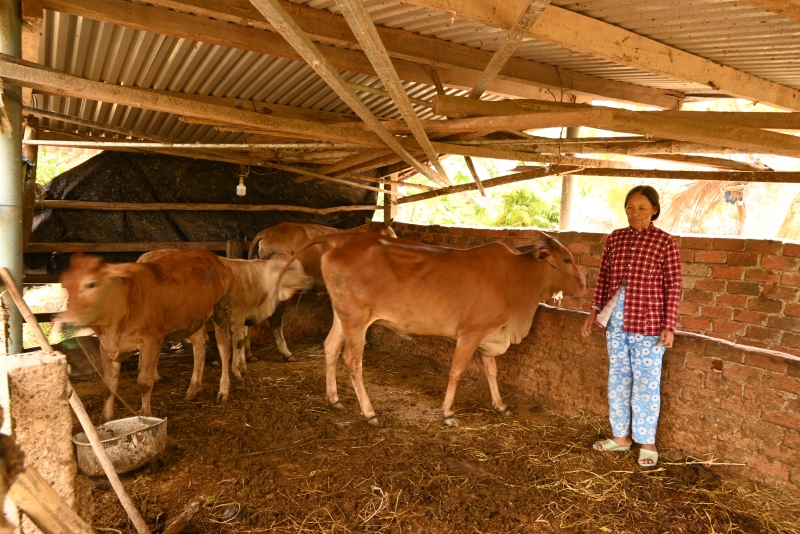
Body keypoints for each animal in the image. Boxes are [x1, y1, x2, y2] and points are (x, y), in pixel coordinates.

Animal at [57, 251, 233, 422]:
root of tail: (210, 255)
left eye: (91, 284)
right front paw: (104, 420)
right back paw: (192, 389)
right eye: (64, 285)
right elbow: (108, 385)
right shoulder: (105, 347)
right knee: (199, 344)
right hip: (192, 317)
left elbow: (144, 383)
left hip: (221, 306)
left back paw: (223, 390)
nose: (64, 323)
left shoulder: (151, 342)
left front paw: (146, 416)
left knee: (223, 346)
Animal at [278, 232, 584, 430]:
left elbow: (492, 372)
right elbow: (457, 371)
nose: (583, 286)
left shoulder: (488, 335)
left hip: (343, 316)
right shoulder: (471, 332)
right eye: (567, 260)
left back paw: (334, 399)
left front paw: (500, 405)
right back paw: (369, 413)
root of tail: (343, 239)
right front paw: (448, 413)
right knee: (352, 360)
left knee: (330, 347)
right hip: (356, 318)